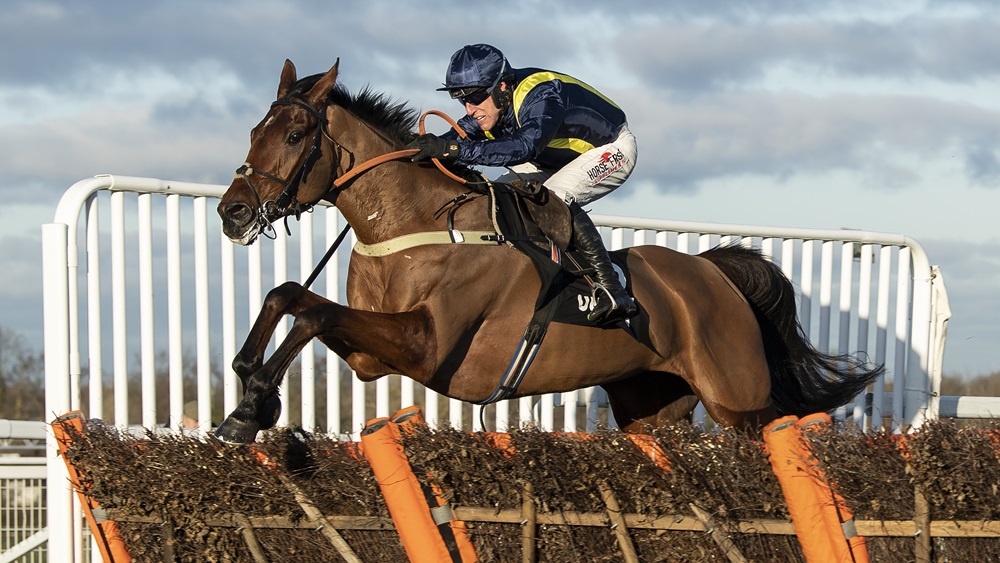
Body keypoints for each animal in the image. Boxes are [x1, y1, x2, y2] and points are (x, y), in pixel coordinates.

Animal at [213, 58, 884, 446]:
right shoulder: (373, 358)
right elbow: (290, 296)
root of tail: (711, 273)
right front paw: (249, 391)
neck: (415, 226)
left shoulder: (427, 345)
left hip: (740, 402)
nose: (233, 212)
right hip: (652, 404)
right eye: (252, 131)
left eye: (295, 134)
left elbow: (311, 313)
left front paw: (253, 406)